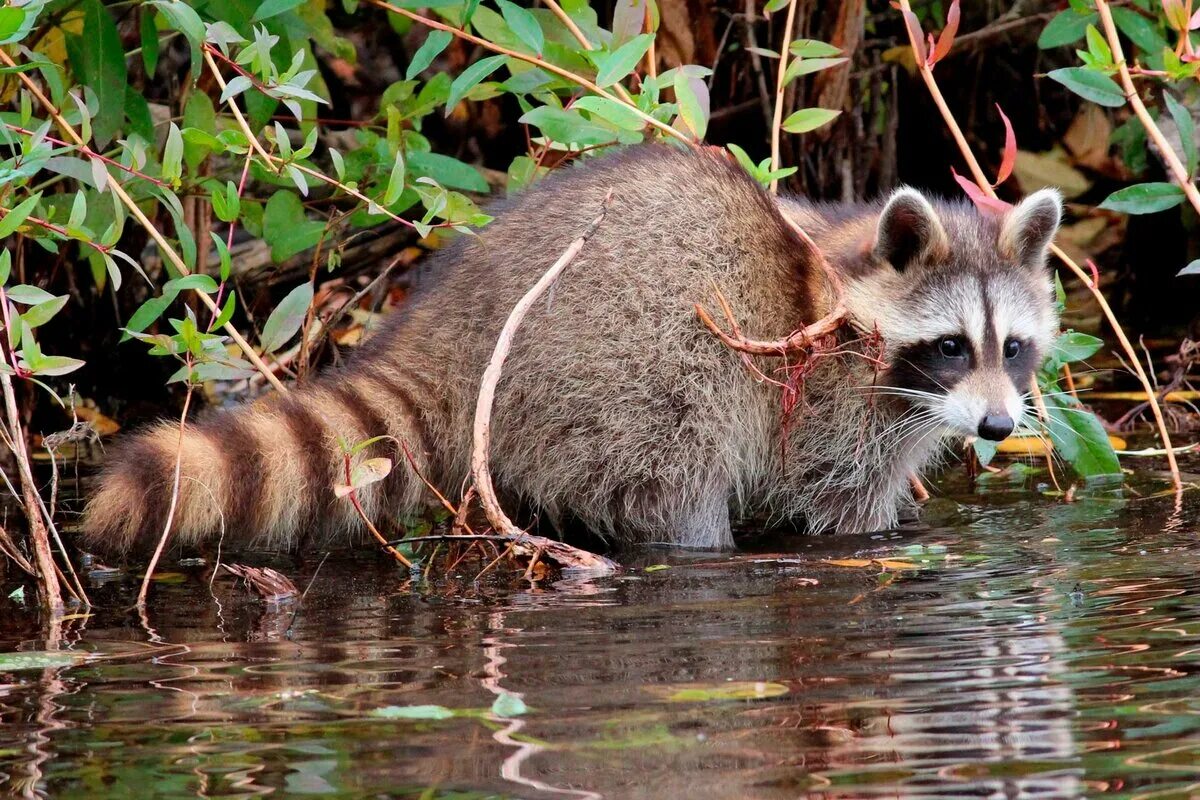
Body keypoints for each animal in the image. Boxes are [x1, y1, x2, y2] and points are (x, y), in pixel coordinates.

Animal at [84, 143, 1060, 554]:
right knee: (675, 476)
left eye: (1012, 348)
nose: (999, 428)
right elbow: (836, 504)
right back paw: (696, 542)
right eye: (948, 346)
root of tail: (457, 320)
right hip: (621, 369)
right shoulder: (826, 398)